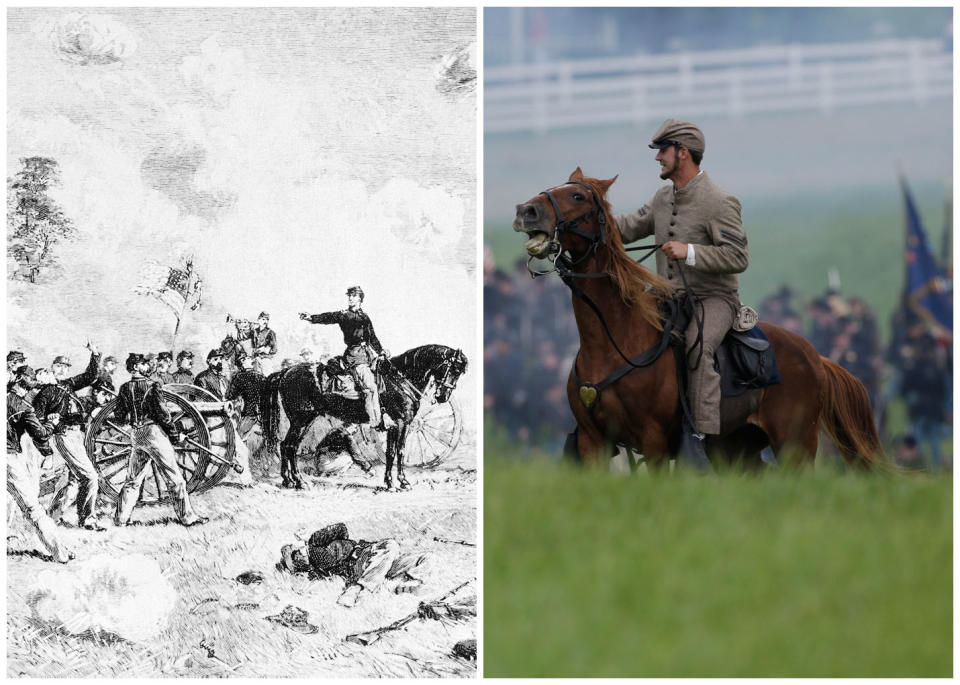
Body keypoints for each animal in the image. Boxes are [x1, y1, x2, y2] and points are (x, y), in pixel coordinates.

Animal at [260, 344, 470, 488]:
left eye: (459, 372)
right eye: (453, 369)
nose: (443, 397)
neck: (399, 380)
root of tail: (286, 372)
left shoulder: (394, 426)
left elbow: (392, 452)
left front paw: (391, 482)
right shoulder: (402, 424)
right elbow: (400, 451)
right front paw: (400, 482)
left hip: (301, 421)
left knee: (284, 445)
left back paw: (288, 480)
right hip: (302, 420)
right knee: (290, 447)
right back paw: (299, 481)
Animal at [512, 167, 880, 470]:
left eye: (578, 196)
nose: (526, 212)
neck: (615, 340)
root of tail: (816, 357)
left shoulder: (654, 442)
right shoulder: (593, 442)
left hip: (794, 445)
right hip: (738, 450)